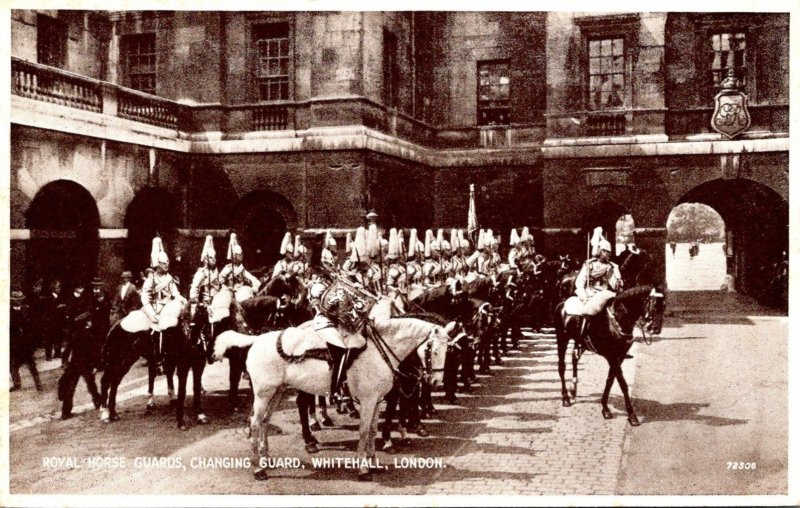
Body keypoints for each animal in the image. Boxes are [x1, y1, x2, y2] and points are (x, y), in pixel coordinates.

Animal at [212, 298, 454, 480]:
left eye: (448, 349)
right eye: (434, 350)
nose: (435, 382)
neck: (380, 351)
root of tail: (257, 340)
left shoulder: (376, 401)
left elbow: (373, 430)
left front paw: (374, 463)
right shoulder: (367, 401)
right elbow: (364, 431)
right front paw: (363, 469)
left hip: (276, 392)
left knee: (263, 422)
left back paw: (267, 460)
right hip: (263, 394)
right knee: (255, 423)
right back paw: (258, 468)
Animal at [552, 286, 664, 424]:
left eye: (664, 306)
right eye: (654, 306)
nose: (656, 329)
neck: (617, 319)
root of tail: (562, 304)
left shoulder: (619, 356)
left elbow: (610, 380)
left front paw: (605, 407)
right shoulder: (612, 356)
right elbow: (622, 383)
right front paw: (631, 415)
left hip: (581, 343)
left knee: (574, 359)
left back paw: (573, 388)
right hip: (562, 339)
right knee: (561, 366)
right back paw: (565, 398)